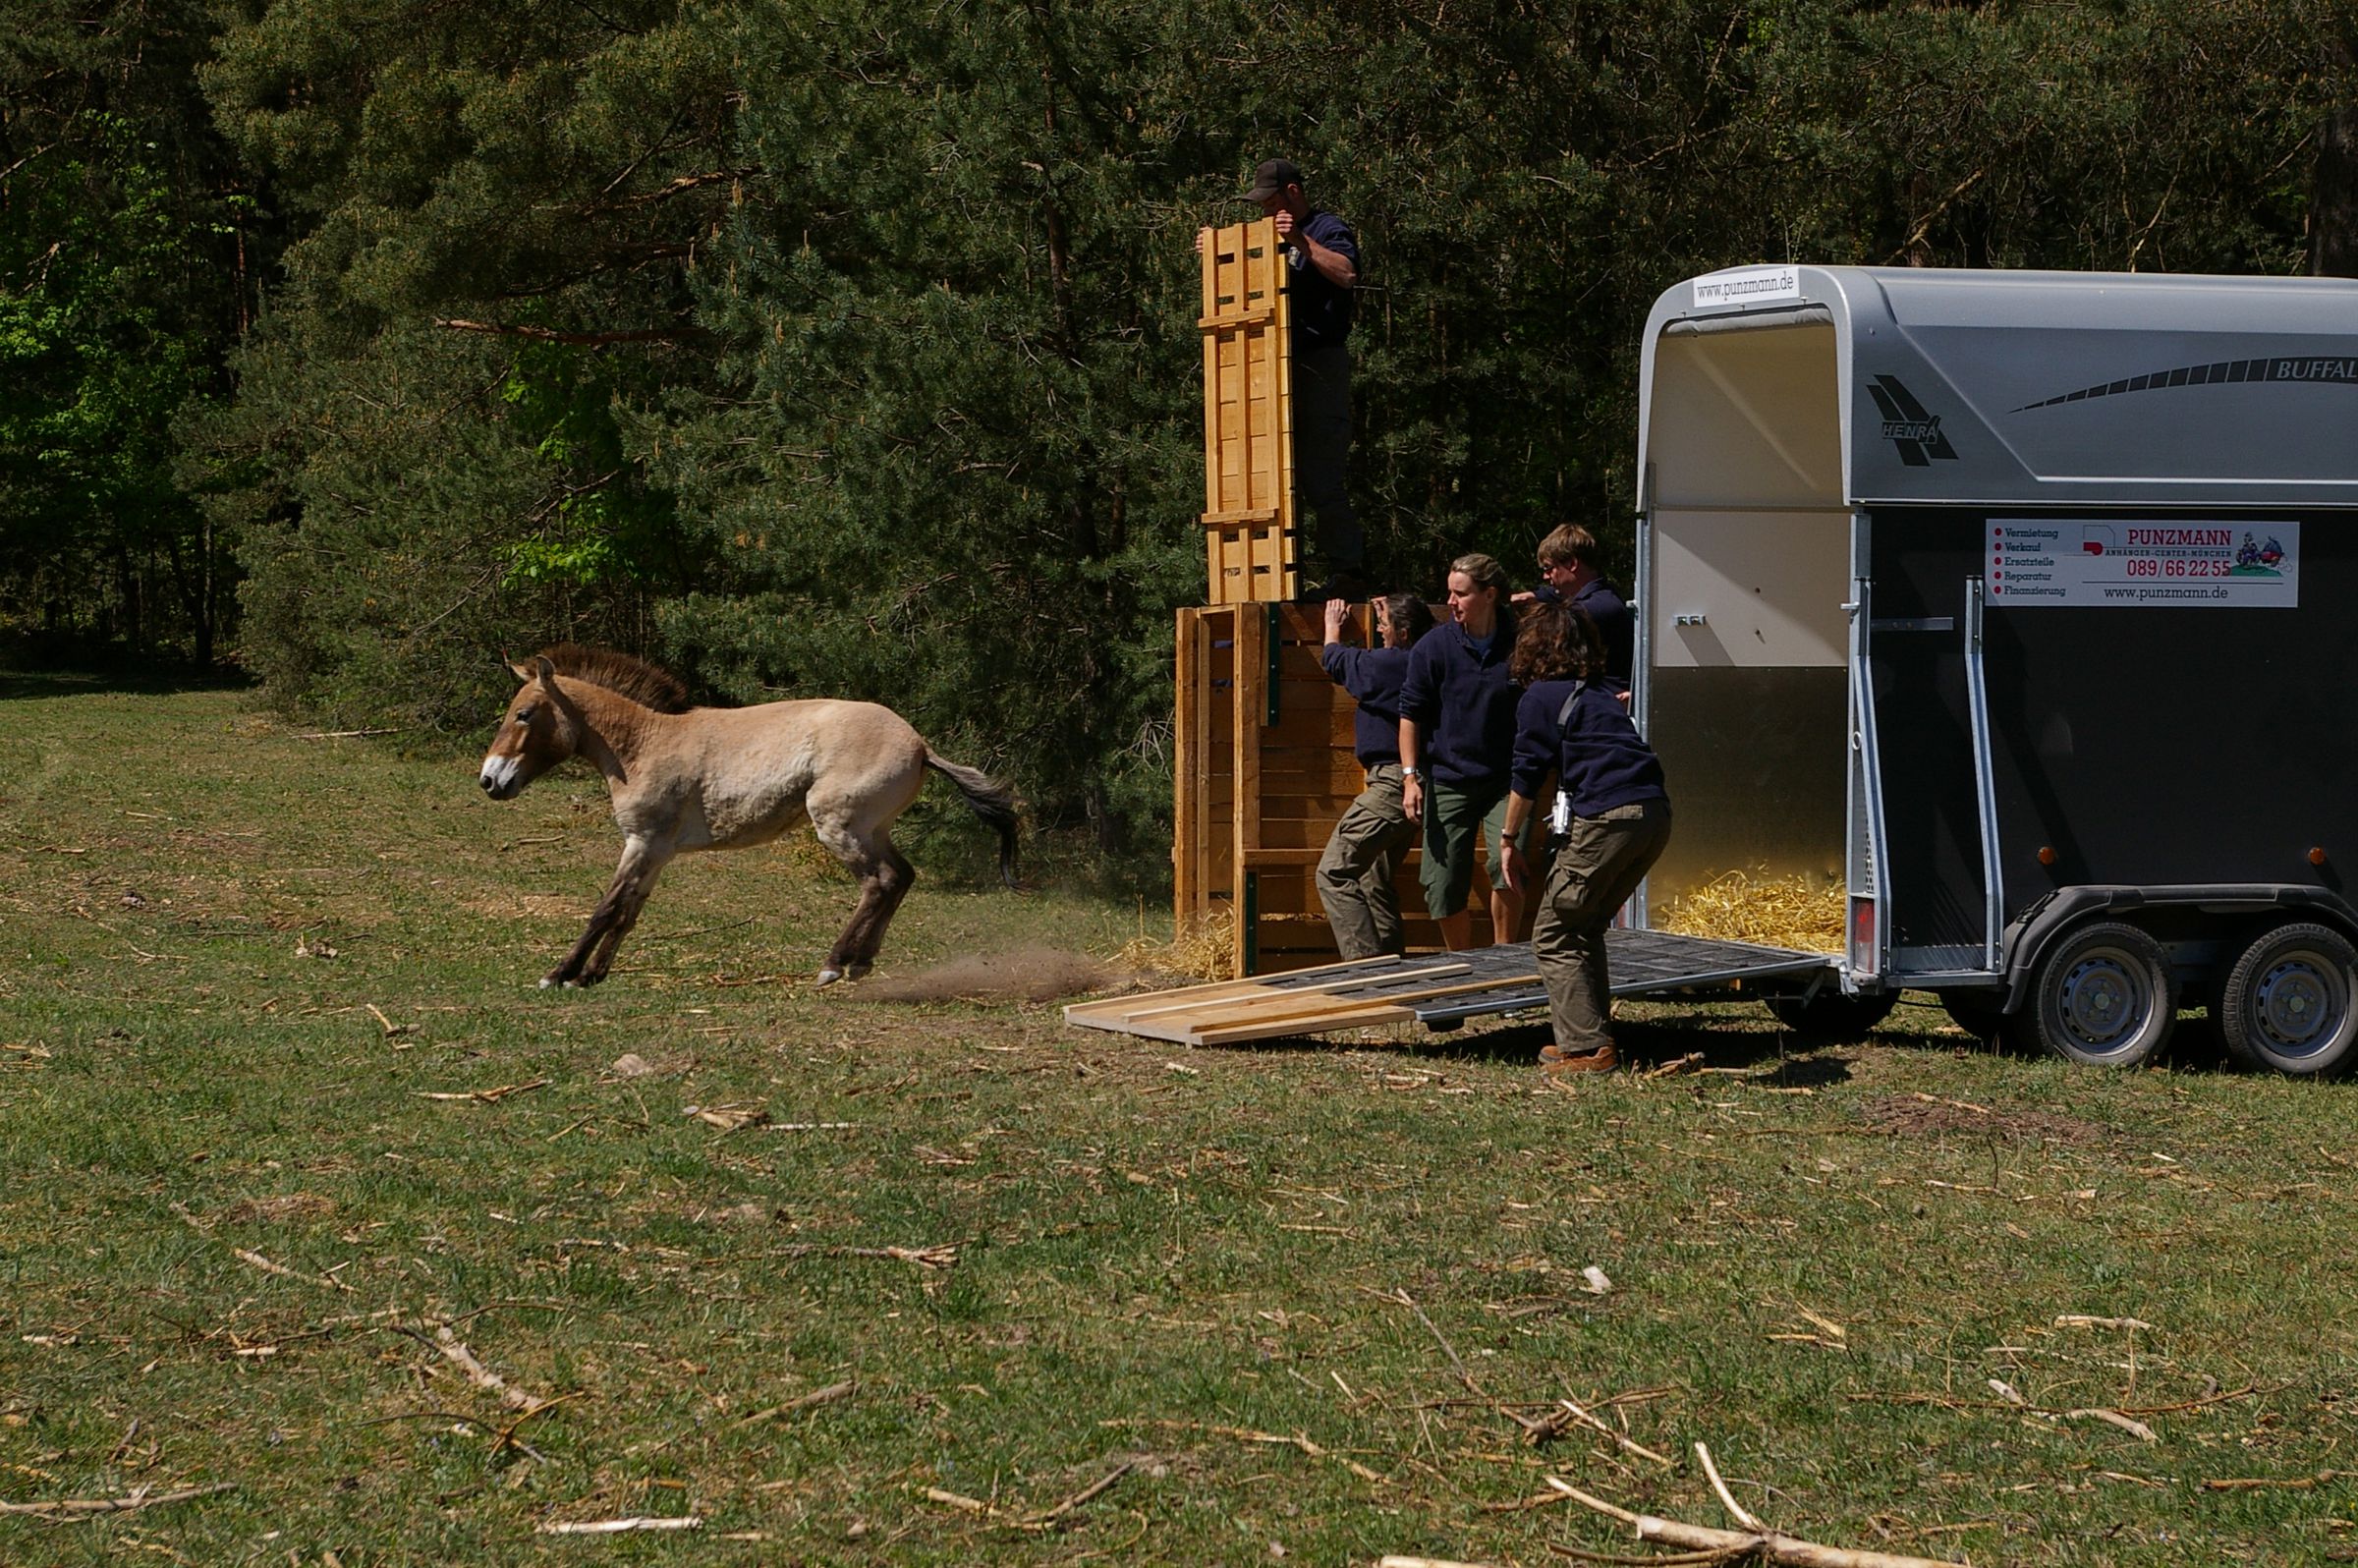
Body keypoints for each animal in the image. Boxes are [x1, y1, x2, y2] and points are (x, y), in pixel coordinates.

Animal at [480, 641, 1023, 985]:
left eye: (523, 714)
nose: (489, 780)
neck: (644, 744)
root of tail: (921, 745)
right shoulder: (656, 851)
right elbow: (628, 913)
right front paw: (592, 975)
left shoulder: (642, 843)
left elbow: (605, 909)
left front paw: (559, 974)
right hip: (874, 829)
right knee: (902, 877)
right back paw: (861, 963)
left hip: (839, 827)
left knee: (880, 882)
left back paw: (834, 965)